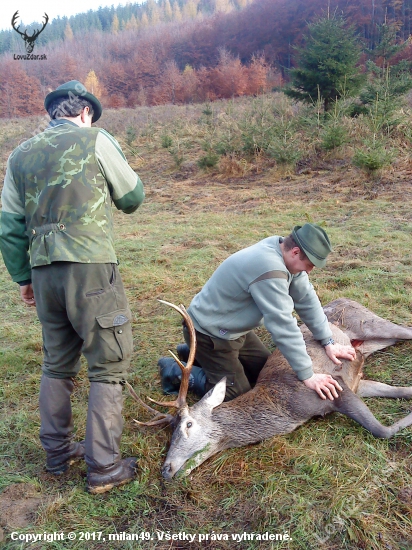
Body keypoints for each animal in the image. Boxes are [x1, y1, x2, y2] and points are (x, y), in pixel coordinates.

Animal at [126, 300, 412, 480]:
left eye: (188, 424)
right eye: (170, 431)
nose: (166, 469)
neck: (287, 410)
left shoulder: (334, 387)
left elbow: (382, 431)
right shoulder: (355, 383)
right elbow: (401, 390)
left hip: (369, 322)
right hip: (371, 342)